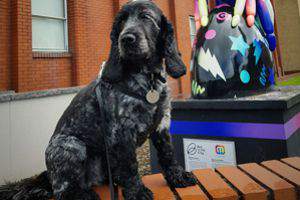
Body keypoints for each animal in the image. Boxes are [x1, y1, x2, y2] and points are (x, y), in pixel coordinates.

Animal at [0, 0, 196, 199]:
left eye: (146, 17)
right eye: (121, 21)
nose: (126, 39)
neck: (147, 79)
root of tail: (48, 176)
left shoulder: (162, 125)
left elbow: (168, 154)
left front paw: (178, 177)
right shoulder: (121, 131)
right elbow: (130, 165)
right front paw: (137, 191)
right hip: (70, 145)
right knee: (62, 189)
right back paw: (83, 194)